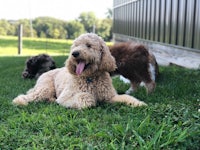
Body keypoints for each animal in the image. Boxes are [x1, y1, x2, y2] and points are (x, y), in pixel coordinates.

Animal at [12, 32, 147, 108]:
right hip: (45, 88)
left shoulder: (110, 97)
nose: (74, 53)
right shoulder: (65, 97)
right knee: (30, 96)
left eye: (88, 45)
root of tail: (46, 72)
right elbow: (86, 97)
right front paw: (92, 100)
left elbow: (126, 97)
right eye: (75, 46)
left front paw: (139, 104)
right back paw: (20, 101)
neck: (90, 78)